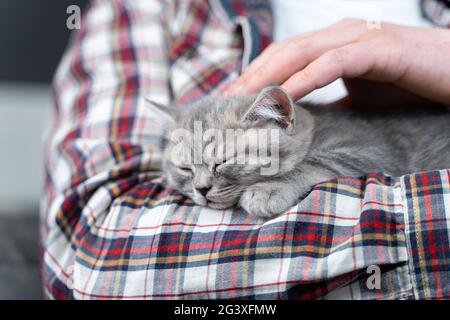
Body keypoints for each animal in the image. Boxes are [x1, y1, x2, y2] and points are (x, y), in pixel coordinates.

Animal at [158, 86, 450, 219]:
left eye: (222, 162)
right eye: (185, 169)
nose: (201, 189)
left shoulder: (373, 149)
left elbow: (315, 162)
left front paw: (269, 189)